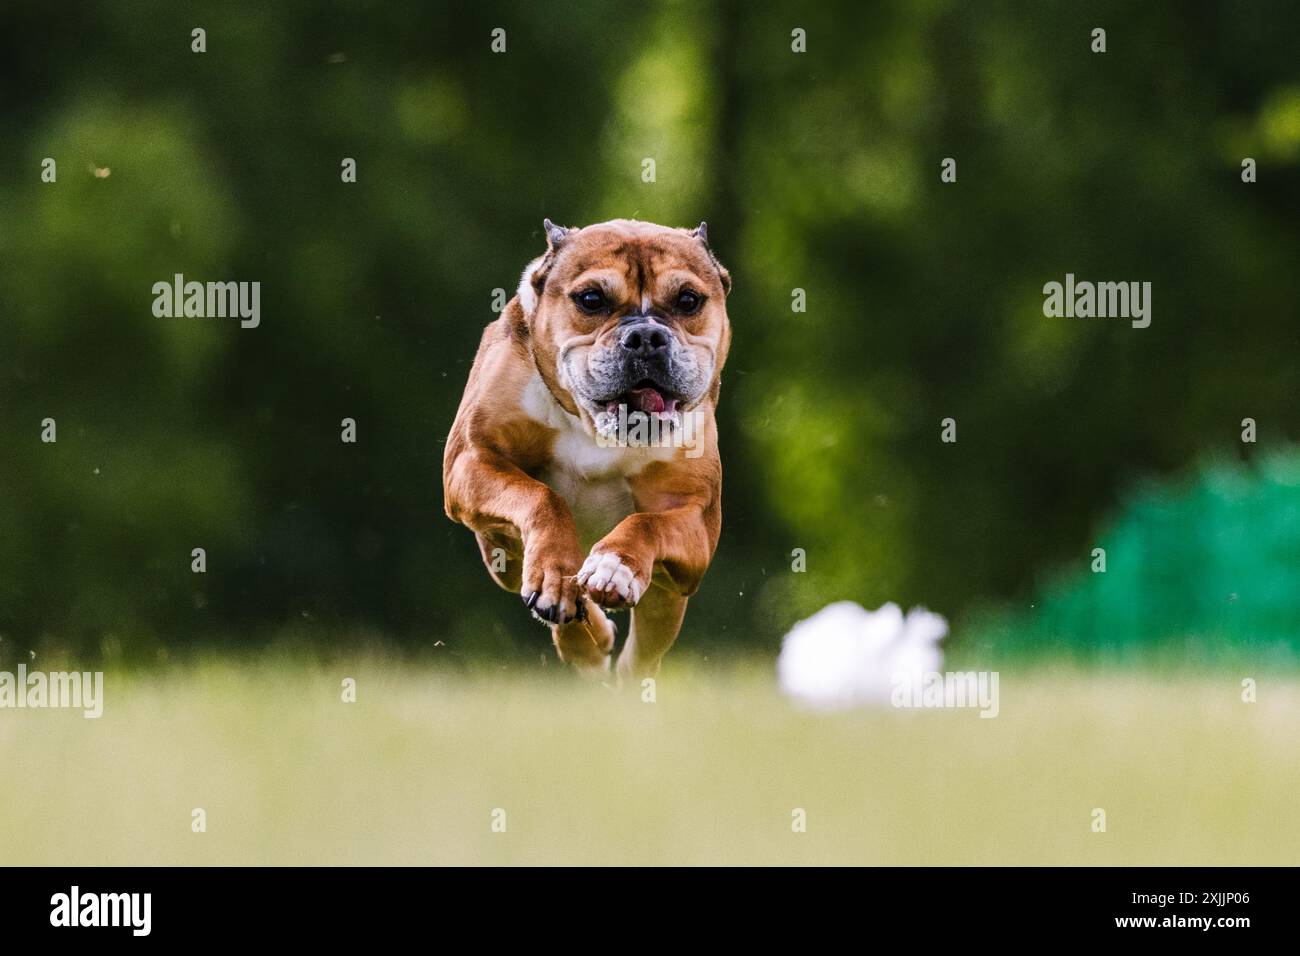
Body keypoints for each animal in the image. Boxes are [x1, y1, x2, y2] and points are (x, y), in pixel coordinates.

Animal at [441, 217, 733, 681]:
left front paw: (614, 566)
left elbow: (648, 522)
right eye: (591, 299)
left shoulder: (696, 518)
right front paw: (556, 580)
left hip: (668, 597)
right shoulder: (472, 459)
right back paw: (578, 627)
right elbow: (542, 497)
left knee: (644, 649)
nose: (646, 335)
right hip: (498, 550)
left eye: (688, 300)